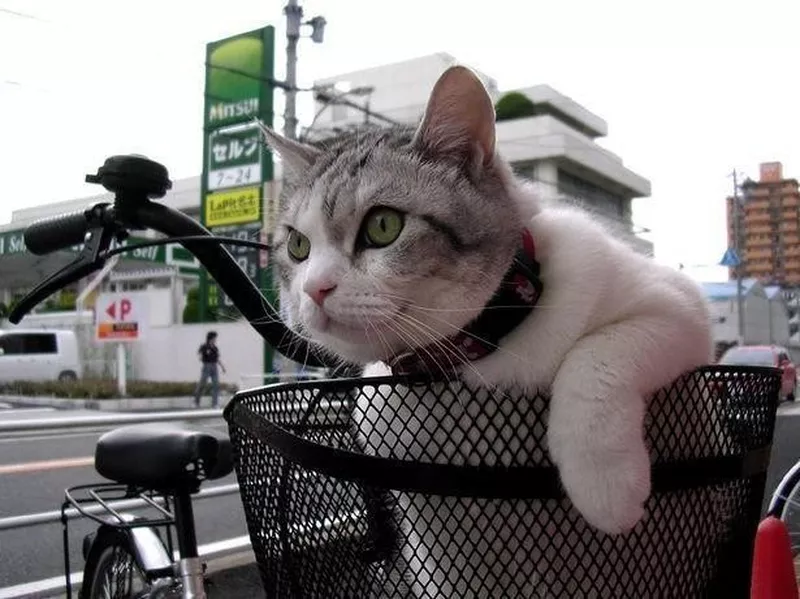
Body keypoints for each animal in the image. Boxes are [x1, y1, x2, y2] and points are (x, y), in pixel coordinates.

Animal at [260, 65, 716, 596]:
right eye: (297, 246)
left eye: (383, 226)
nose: (314, 289)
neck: (471, 356)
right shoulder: (440, 555)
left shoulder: (679, 307)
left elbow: (596, 356)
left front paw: (606, 485)